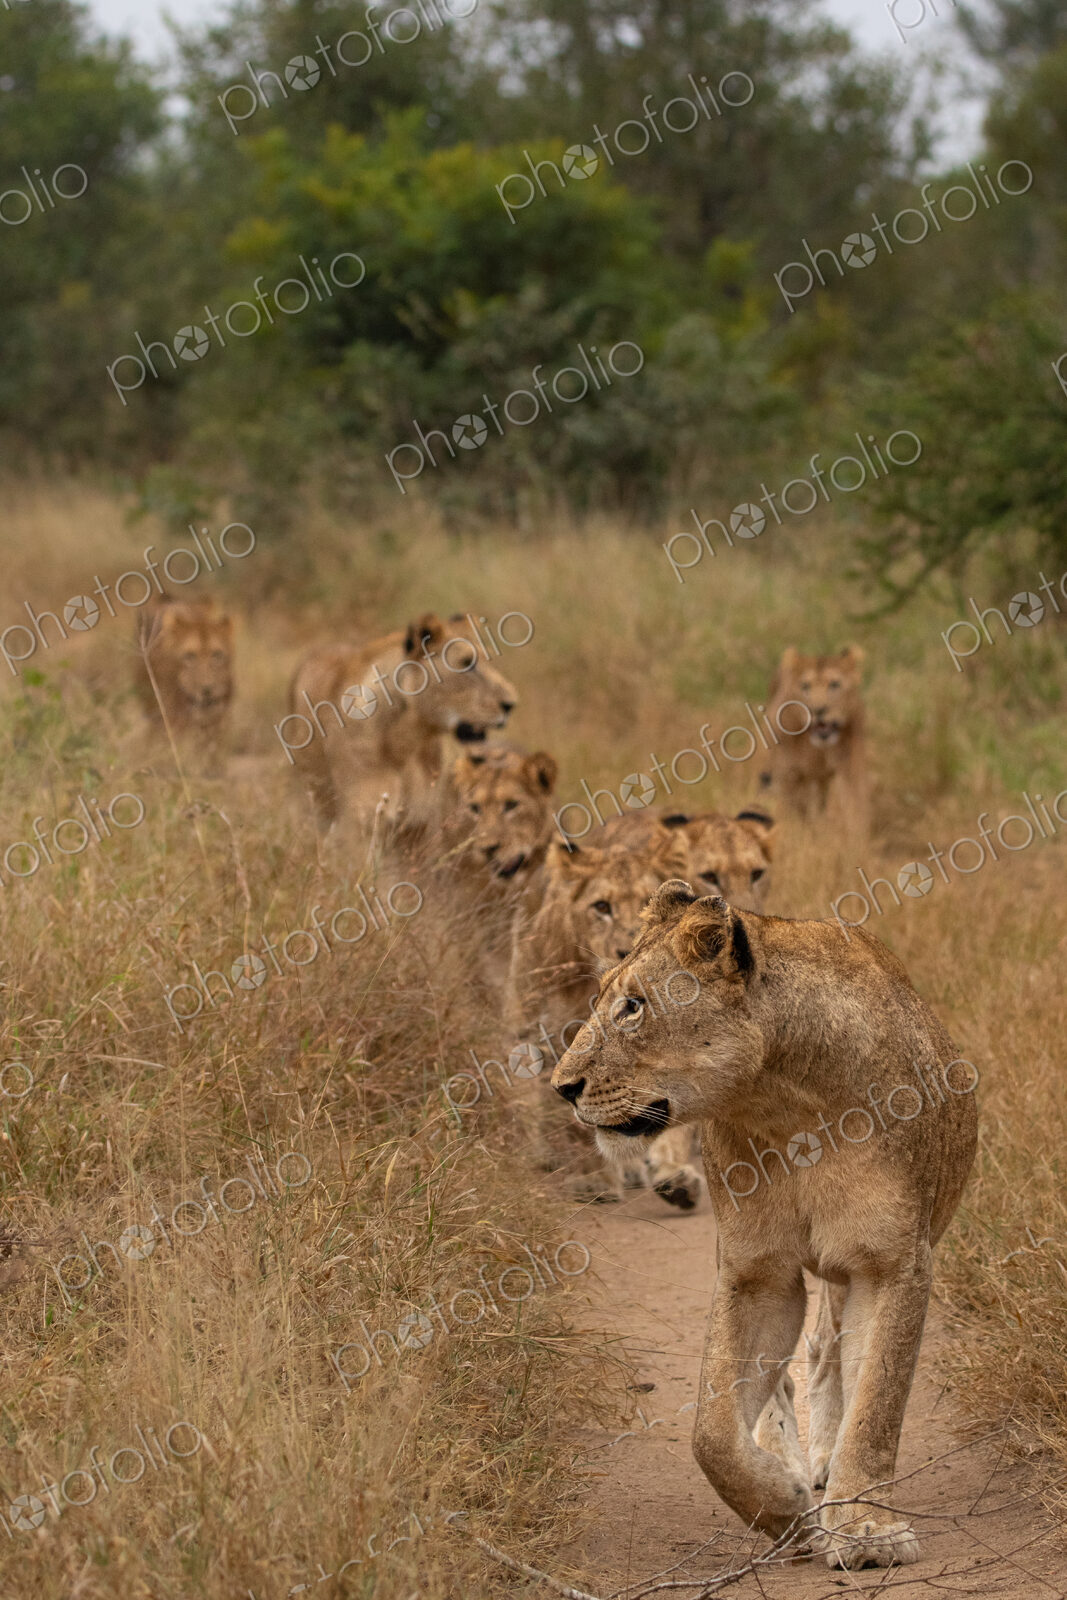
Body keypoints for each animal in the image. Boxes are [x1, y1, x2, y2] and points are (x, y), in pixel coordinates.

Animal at [135, 595, 234, 769]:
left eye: (217, 654)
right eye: (189, 656)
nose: (207, 690)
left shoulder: (216, 721)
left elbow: (211, 753)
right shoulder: (169, 718)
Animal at [551, 882, 977, 1569]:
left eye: (633, 1007)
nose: (563, 1087)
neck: (785, 1102)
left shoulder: (892, 1263)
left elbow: (876, 1405)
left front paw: (866, 1530)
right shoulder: (756, 1272)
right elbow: (711, 1434)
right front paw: (783, 1505)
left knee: (829, 1353)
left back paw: (825, 1463)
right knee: (783, 1378)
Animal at [761, 646, 868, 836]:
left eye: (834, 684)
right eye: (805, 686)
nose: (818, 710)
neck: (817, 750)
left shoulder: (850, 768)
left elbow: (854, 808)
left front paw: (855, 840)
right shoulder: (788, 775)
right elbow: (791, 813)